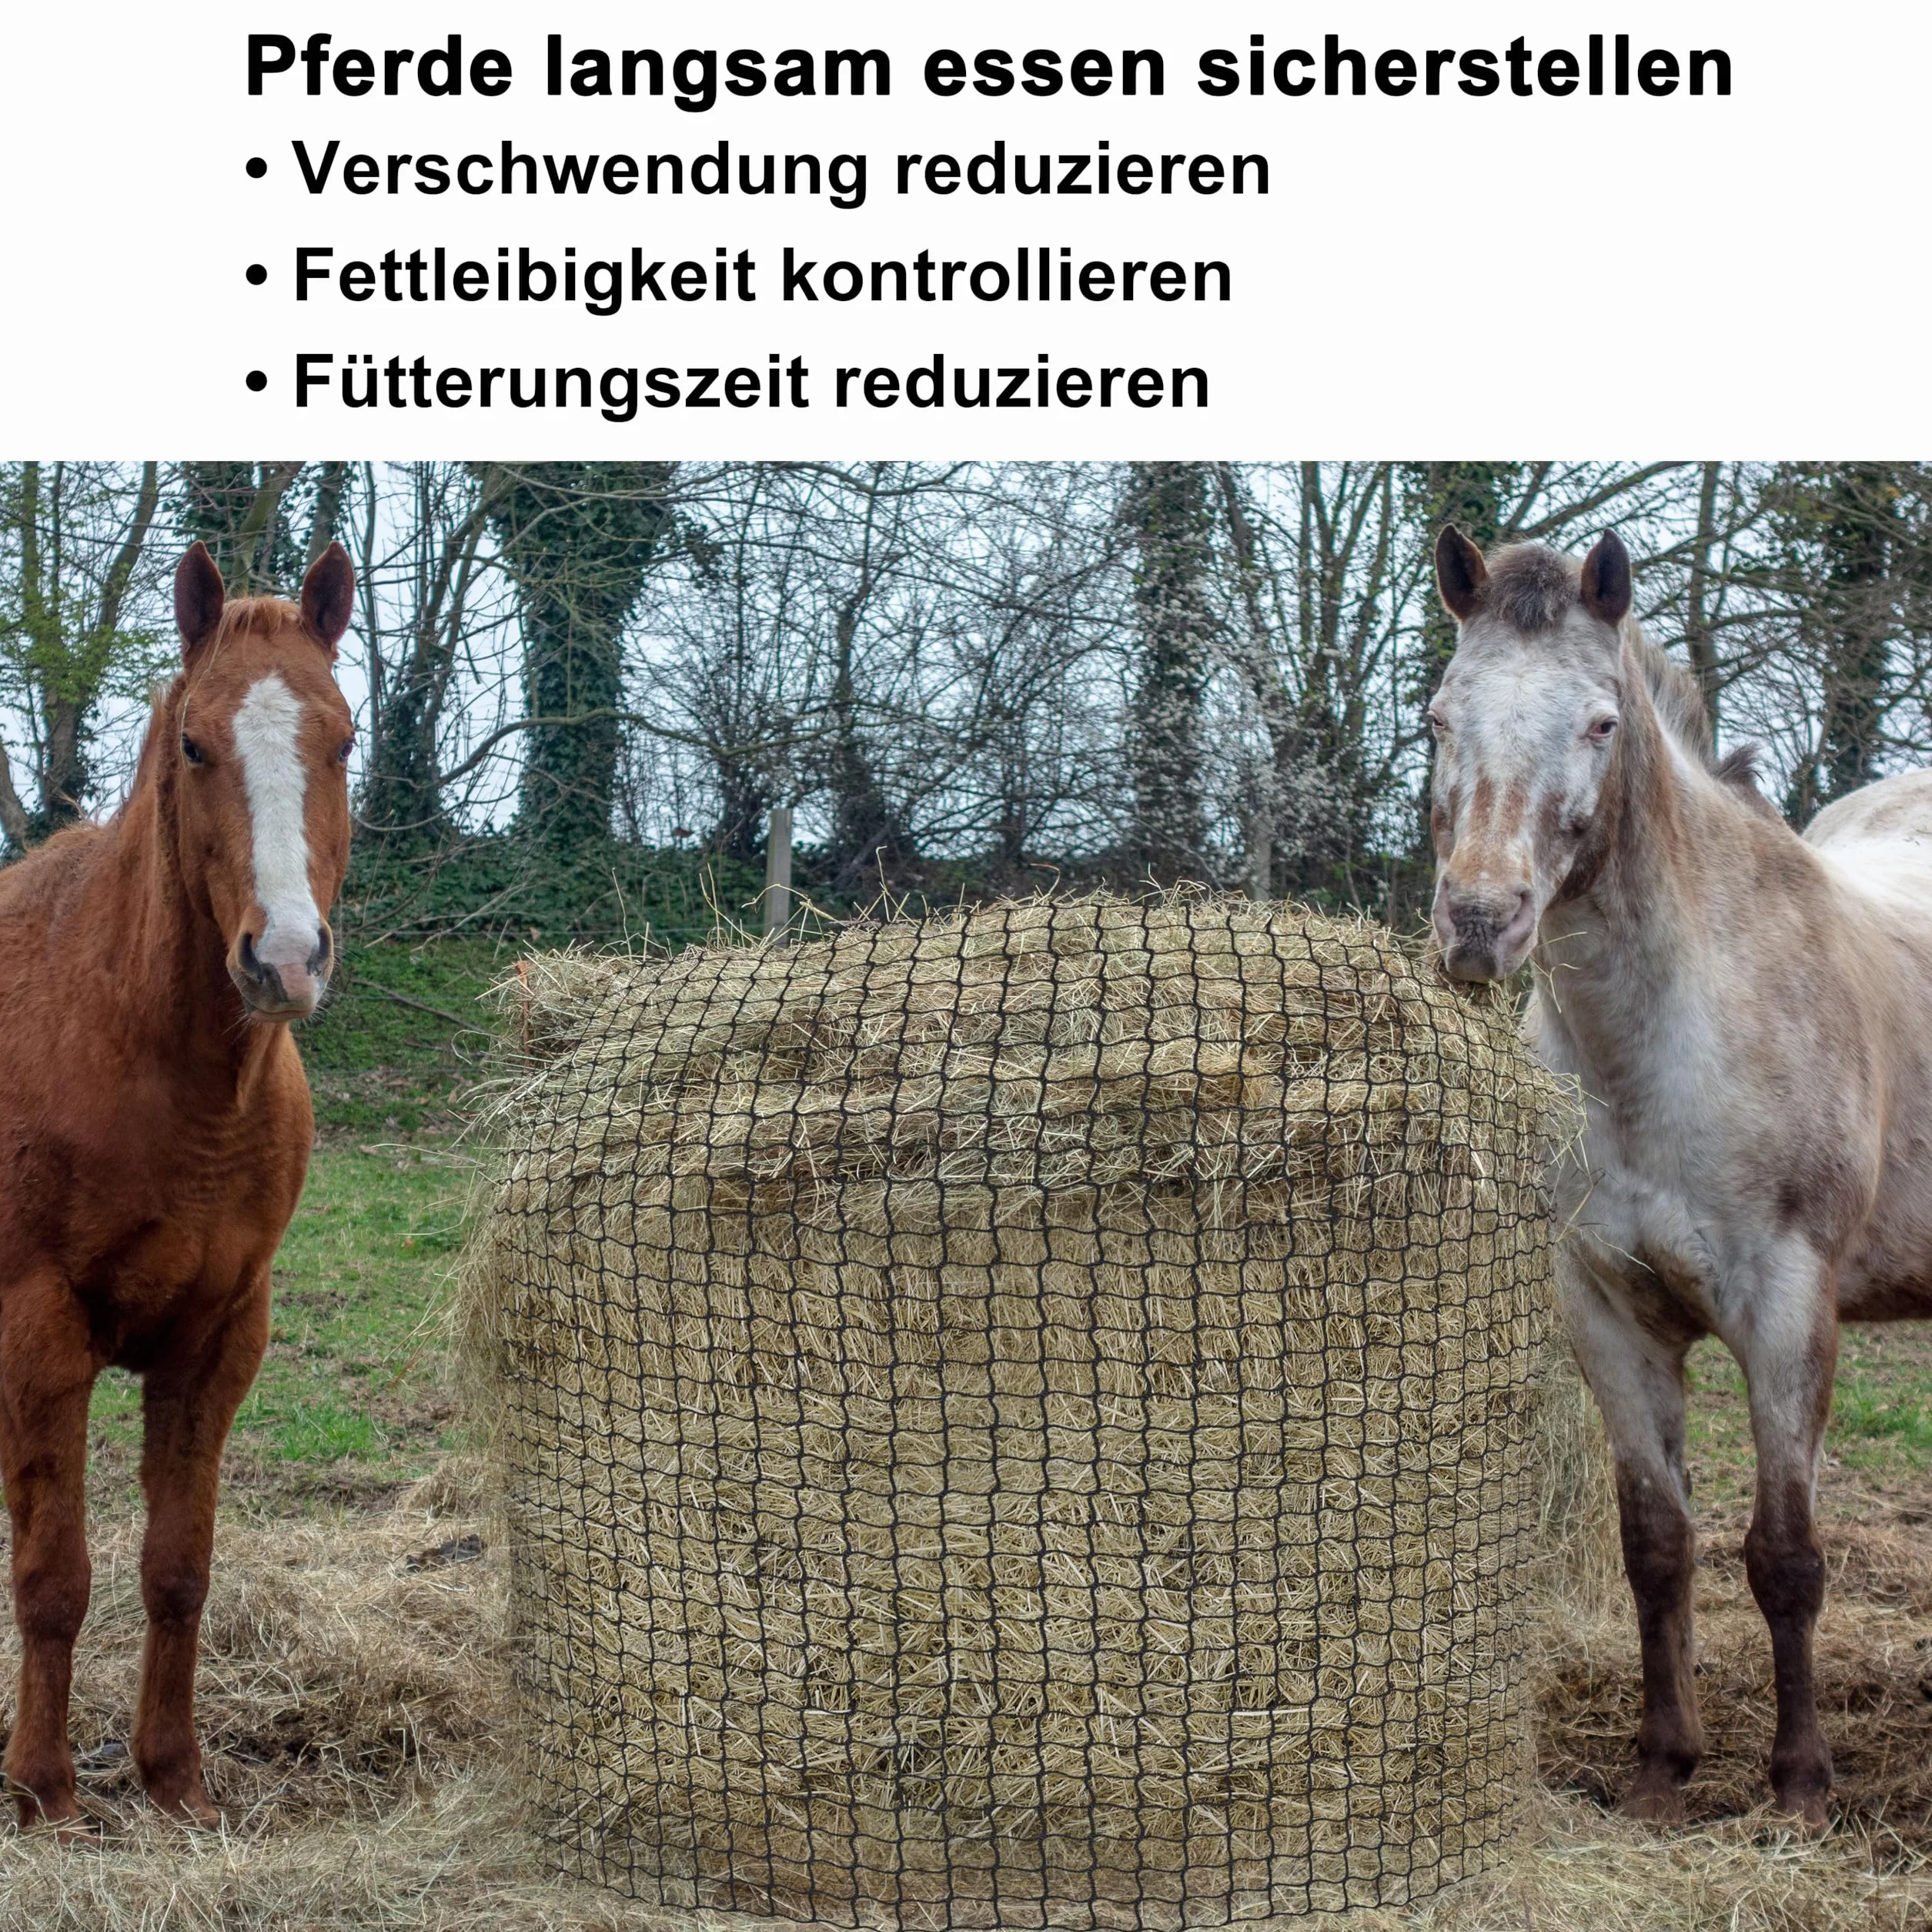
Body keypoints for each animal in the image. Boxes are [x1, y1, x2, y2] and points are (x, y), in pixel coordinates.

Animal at [0, 540, 355, 1831]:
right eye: (196, 746)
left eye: (343, 738)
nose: (285, 959)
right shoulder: (38, 1334)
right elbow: (53, 1575)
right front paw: (44, 1790)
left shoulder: (219, 1337)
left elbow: (177, 1569)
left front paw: (173, 1778)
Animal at [1426, 524, 1932, 1830]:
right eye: (1436, 715)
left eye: (1600, 721)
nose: (1478, 924)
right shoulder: (1605, 1312)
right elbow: (1655, 1543)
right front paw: (1662, 1767)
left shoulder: (1785, 1309)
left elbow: (1783, 1556)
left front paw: (1798, 1784)